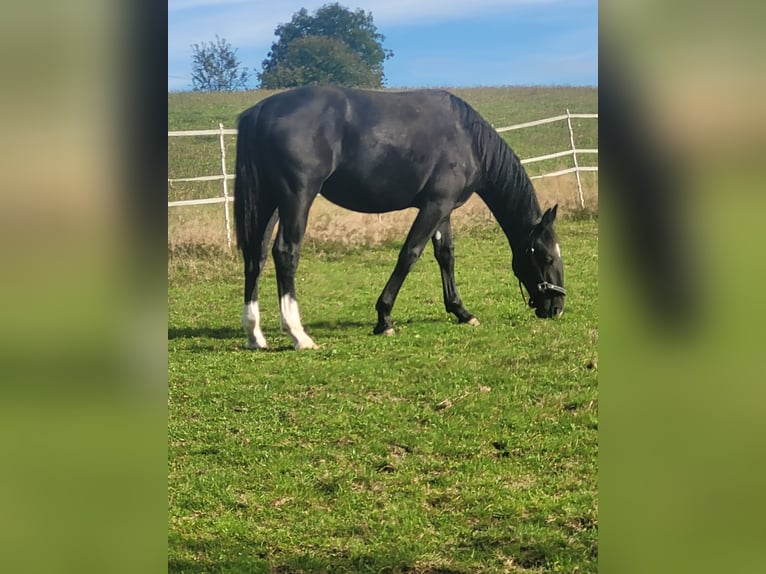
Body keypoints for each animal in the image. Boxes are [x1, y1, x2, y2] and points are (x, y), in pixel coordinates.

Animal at [234, 86, 564, 352]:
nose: (557, 307)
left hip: (268, 201)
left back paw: (255, 335)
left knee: (255, 257)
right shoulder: (434, 206)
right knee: (285, 253)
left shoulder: (443, 209)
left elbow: (446, 255)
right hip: (296, 198)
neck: (468, 139)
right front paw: (384, 319)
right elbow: (409, 255)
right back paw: (298, 335)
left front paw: (461, 312)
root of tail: (260, 112)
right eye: (547, 257)